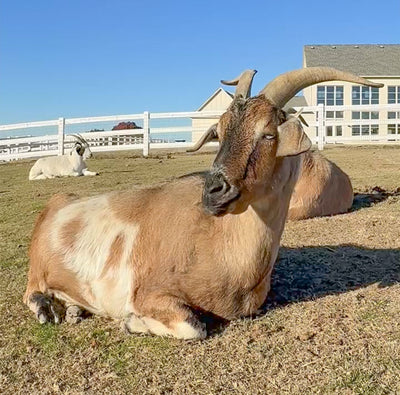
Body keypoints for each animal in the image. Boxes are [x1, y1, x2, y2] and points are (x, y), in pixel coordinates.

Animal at [24, 68, 382, 340]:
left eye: (268, 134)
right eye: (219, 132)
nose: (213, 192)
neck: (220, 243)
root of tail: (55, 204)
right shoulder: (149, 292)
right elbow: (194, 326)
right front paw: (131, 322)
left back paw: (72, 309)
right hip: (36, 270)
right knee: (31, 291)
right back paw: (47, 309)